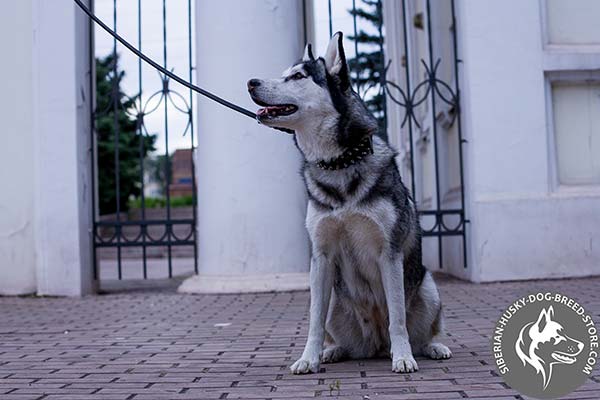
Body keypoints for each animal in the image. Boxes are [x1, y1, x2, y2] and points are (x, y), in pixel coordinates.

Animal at [245, 32, 450, 374]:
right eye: (284, 72)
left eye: (298, 76)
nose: (251, 82)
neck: (339, 164)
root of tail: (377, 345)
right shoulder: (321, 257)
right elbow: (313, 320)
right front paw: (309, 358)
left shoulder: (389, 254)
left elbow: (398, 318)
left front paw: (403, 357)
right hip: (336, 302)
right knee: (344, 339)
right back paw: (333, 351)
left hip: (428, 288)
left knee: (423, 331)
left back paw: (432, 347)